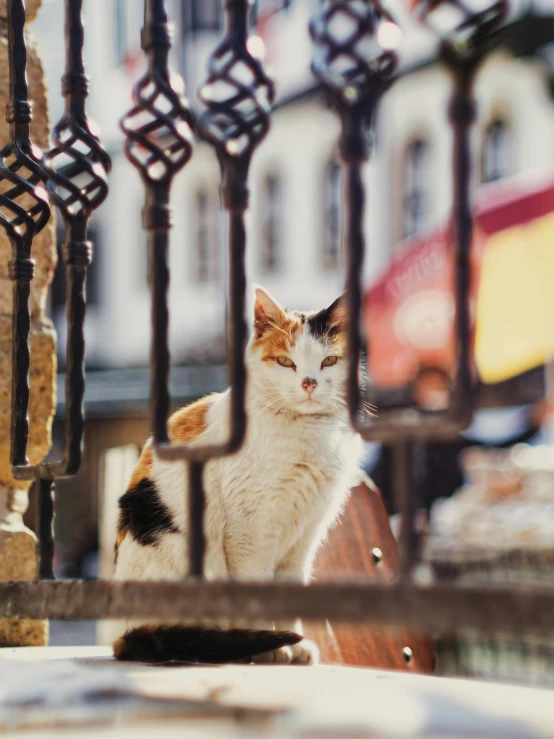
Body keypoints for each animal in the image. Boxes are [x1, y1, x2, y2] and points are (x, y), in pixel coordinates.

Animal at [112, 288, 362, 664]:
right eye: (285, 362)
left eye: (329, 361)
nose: (309, 383)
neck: (308, 435)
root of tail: (120, 638)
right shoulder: (250, 530)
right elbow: (254, 589)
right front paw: (272, 648)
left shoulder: (304, 536)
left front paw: (295, 645)